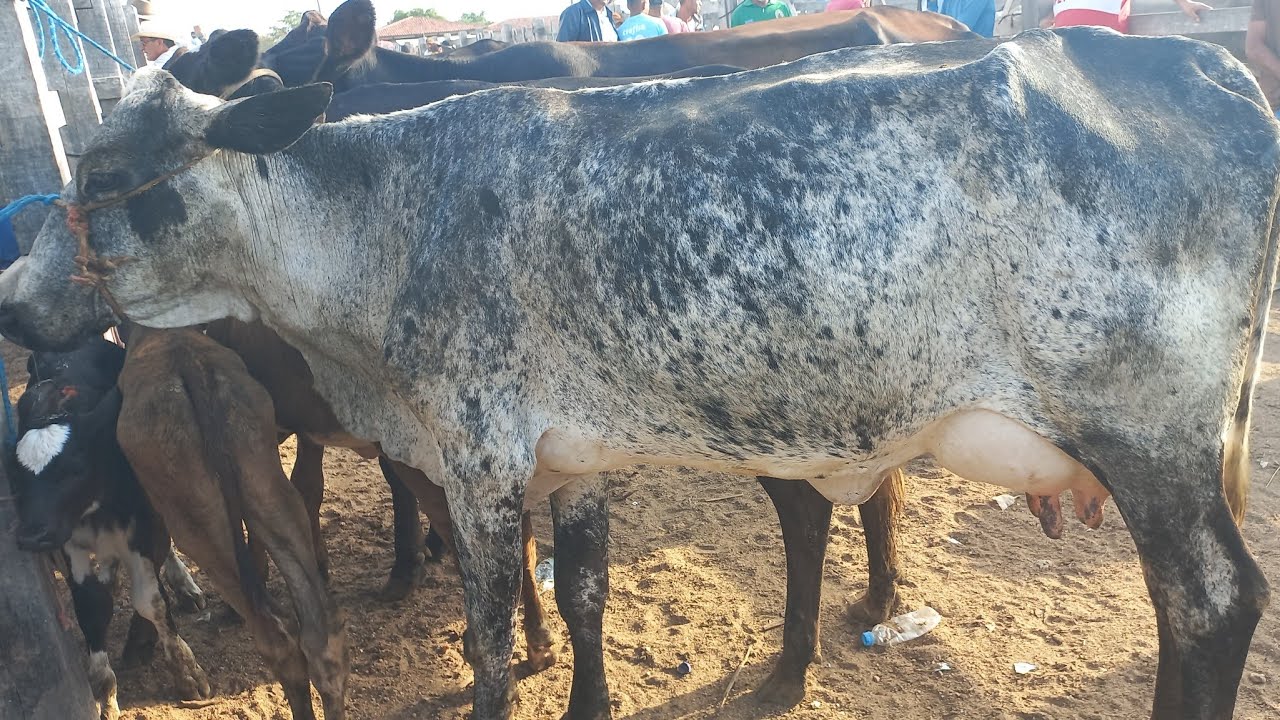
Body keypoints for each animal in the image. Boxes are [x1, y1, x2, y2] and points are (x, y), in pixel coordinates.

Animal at [8, 339, 210, 720]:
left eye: (74, 468)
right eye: (15, 476)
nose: (31, 535)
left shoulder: (144, 528)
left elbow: (151, 602)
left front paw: (186, 671)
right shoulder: (70, 544)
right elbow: (92, 607)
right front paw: (105, 692)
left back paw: (183, 585)